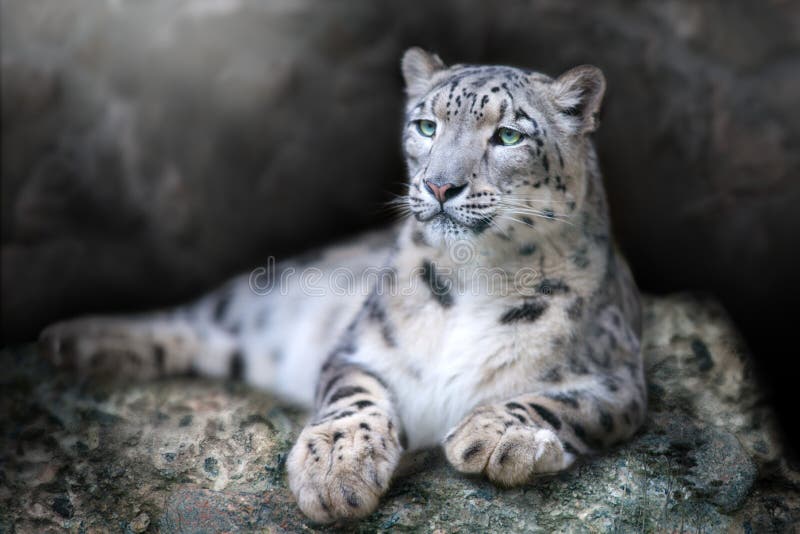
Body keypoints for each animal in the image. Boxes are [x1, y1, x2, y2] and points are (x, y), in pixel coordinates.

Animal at [40, 48, 648, 524]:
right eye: (427, 126)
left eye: (508, 135)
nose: (439, 185)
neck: (477, 275)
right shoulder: (361, 347)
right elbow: (353, 395)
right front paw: (336, 468)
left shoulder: (616, 376)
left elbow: (565, 402)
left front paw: (501, 437)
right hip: (254, 298)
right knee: (194, 316)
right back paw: (78, 340)